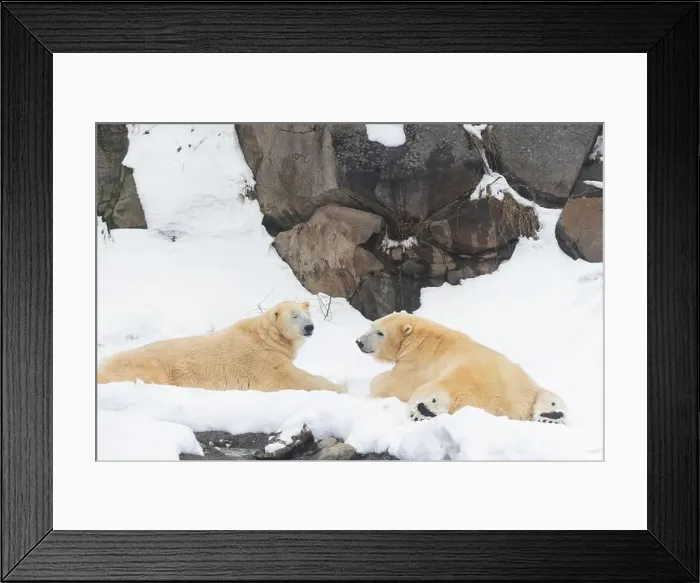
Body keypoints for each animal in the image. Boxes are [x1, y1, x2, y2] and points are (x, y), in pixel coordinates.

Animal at [97, 300, 345, 393]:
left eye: (307, 314)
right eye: (294, 316)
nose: (309, 327)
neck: (264, 336)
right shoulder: (260, 359)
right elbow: (289, 378)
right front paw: (340, 386)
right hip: (146, 367)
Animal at [355, 312, 567, 424]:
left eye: (380, 333)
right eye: (371, 325)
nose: (359, 342)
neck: (418, 338)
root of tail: (510, 408)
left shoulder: (417, 363)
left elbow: (394, 384)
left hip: (466, 379)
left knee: (436, 392)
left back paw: (423, 410)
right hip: (527, 385)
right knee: (549, 397)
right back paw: (552, 415)